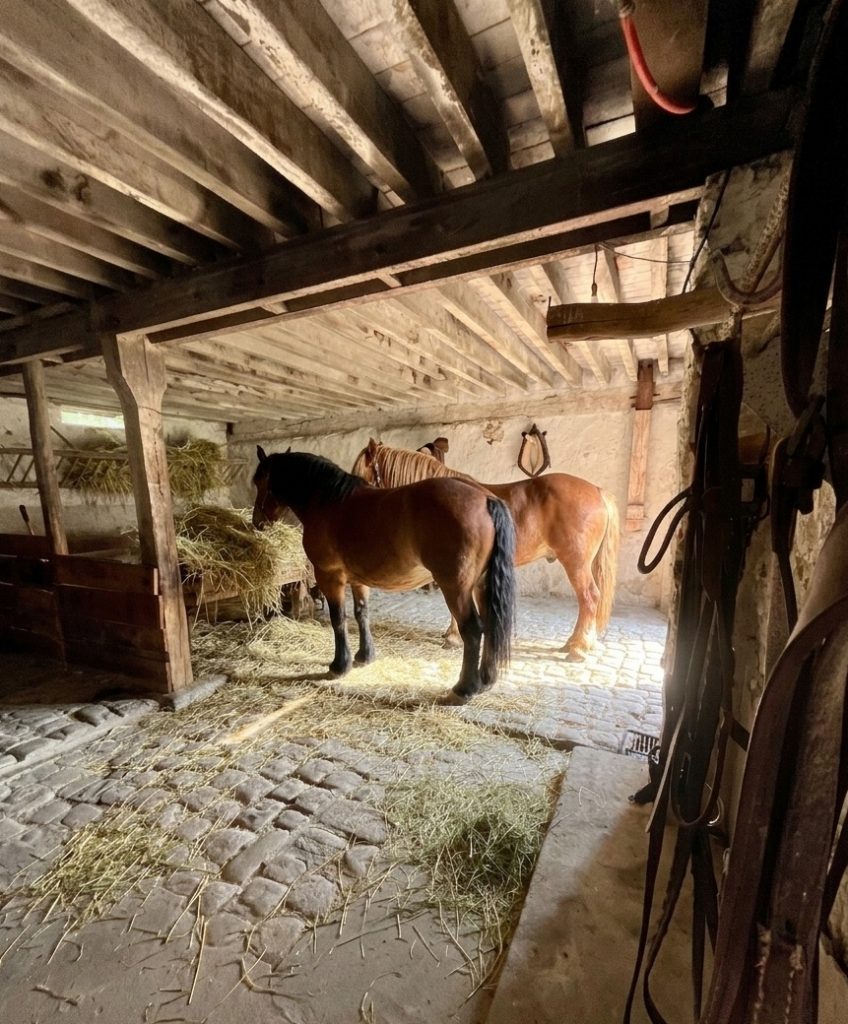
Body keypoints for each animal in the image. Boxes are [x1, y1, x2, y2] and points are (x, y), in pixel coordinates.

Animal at [252, 447, 517, 704]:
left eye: (259, 482)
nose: (257, 523)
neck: (328, 503)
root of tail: (485, 498)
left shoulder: (330, 576)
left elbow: (338, 619)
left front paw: (340, 665)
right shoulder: (357, 580)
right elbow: (361, 614)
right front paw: (364, 656)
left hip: (456, 588)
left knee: (472, 630)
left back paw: (464, 689)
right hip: (481, 586)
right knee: (490, 624)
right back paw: (486, 680)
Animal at [352, 439, 620, 660]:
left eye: (359, 473)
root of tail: (597, 491)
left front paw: (453, 637)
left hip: (576, 562)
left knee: (589, 598)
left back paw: (578, 648)